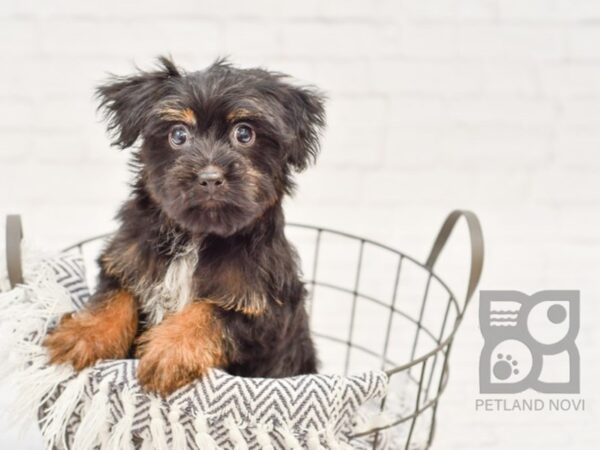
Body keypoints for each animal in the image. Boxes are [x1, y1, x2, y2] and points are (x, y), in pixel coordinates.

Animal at [44, 57, 326, 398]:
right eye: (178, 135)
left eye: (244, 134)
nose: (210, 177)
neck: (195, 236)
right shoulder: (126, 257)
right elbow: (115, 295)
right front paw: (84, 334)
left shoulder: (263, 305)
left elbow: (209, 312)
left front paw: (169, 350)